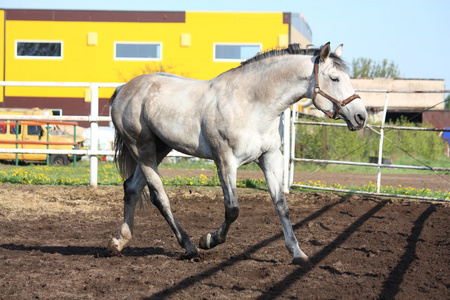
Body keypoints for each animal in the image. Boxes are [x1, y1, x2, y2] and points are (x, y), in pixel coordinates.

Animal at [107, 42, 368, 268]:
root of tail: (124, 89)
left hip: (159, 149)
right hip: (143, 150)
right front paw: (209, 240)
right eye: (334, 78)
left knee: (132, 187)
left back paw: (119, 242)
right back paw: (190, 247)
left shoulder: (269, 158)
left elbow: (281, 205)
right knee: (159, 197)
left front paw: (297, 253)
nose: (361, 117)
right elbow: (232, 209)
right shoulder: (225, 161)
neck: (252, 103)